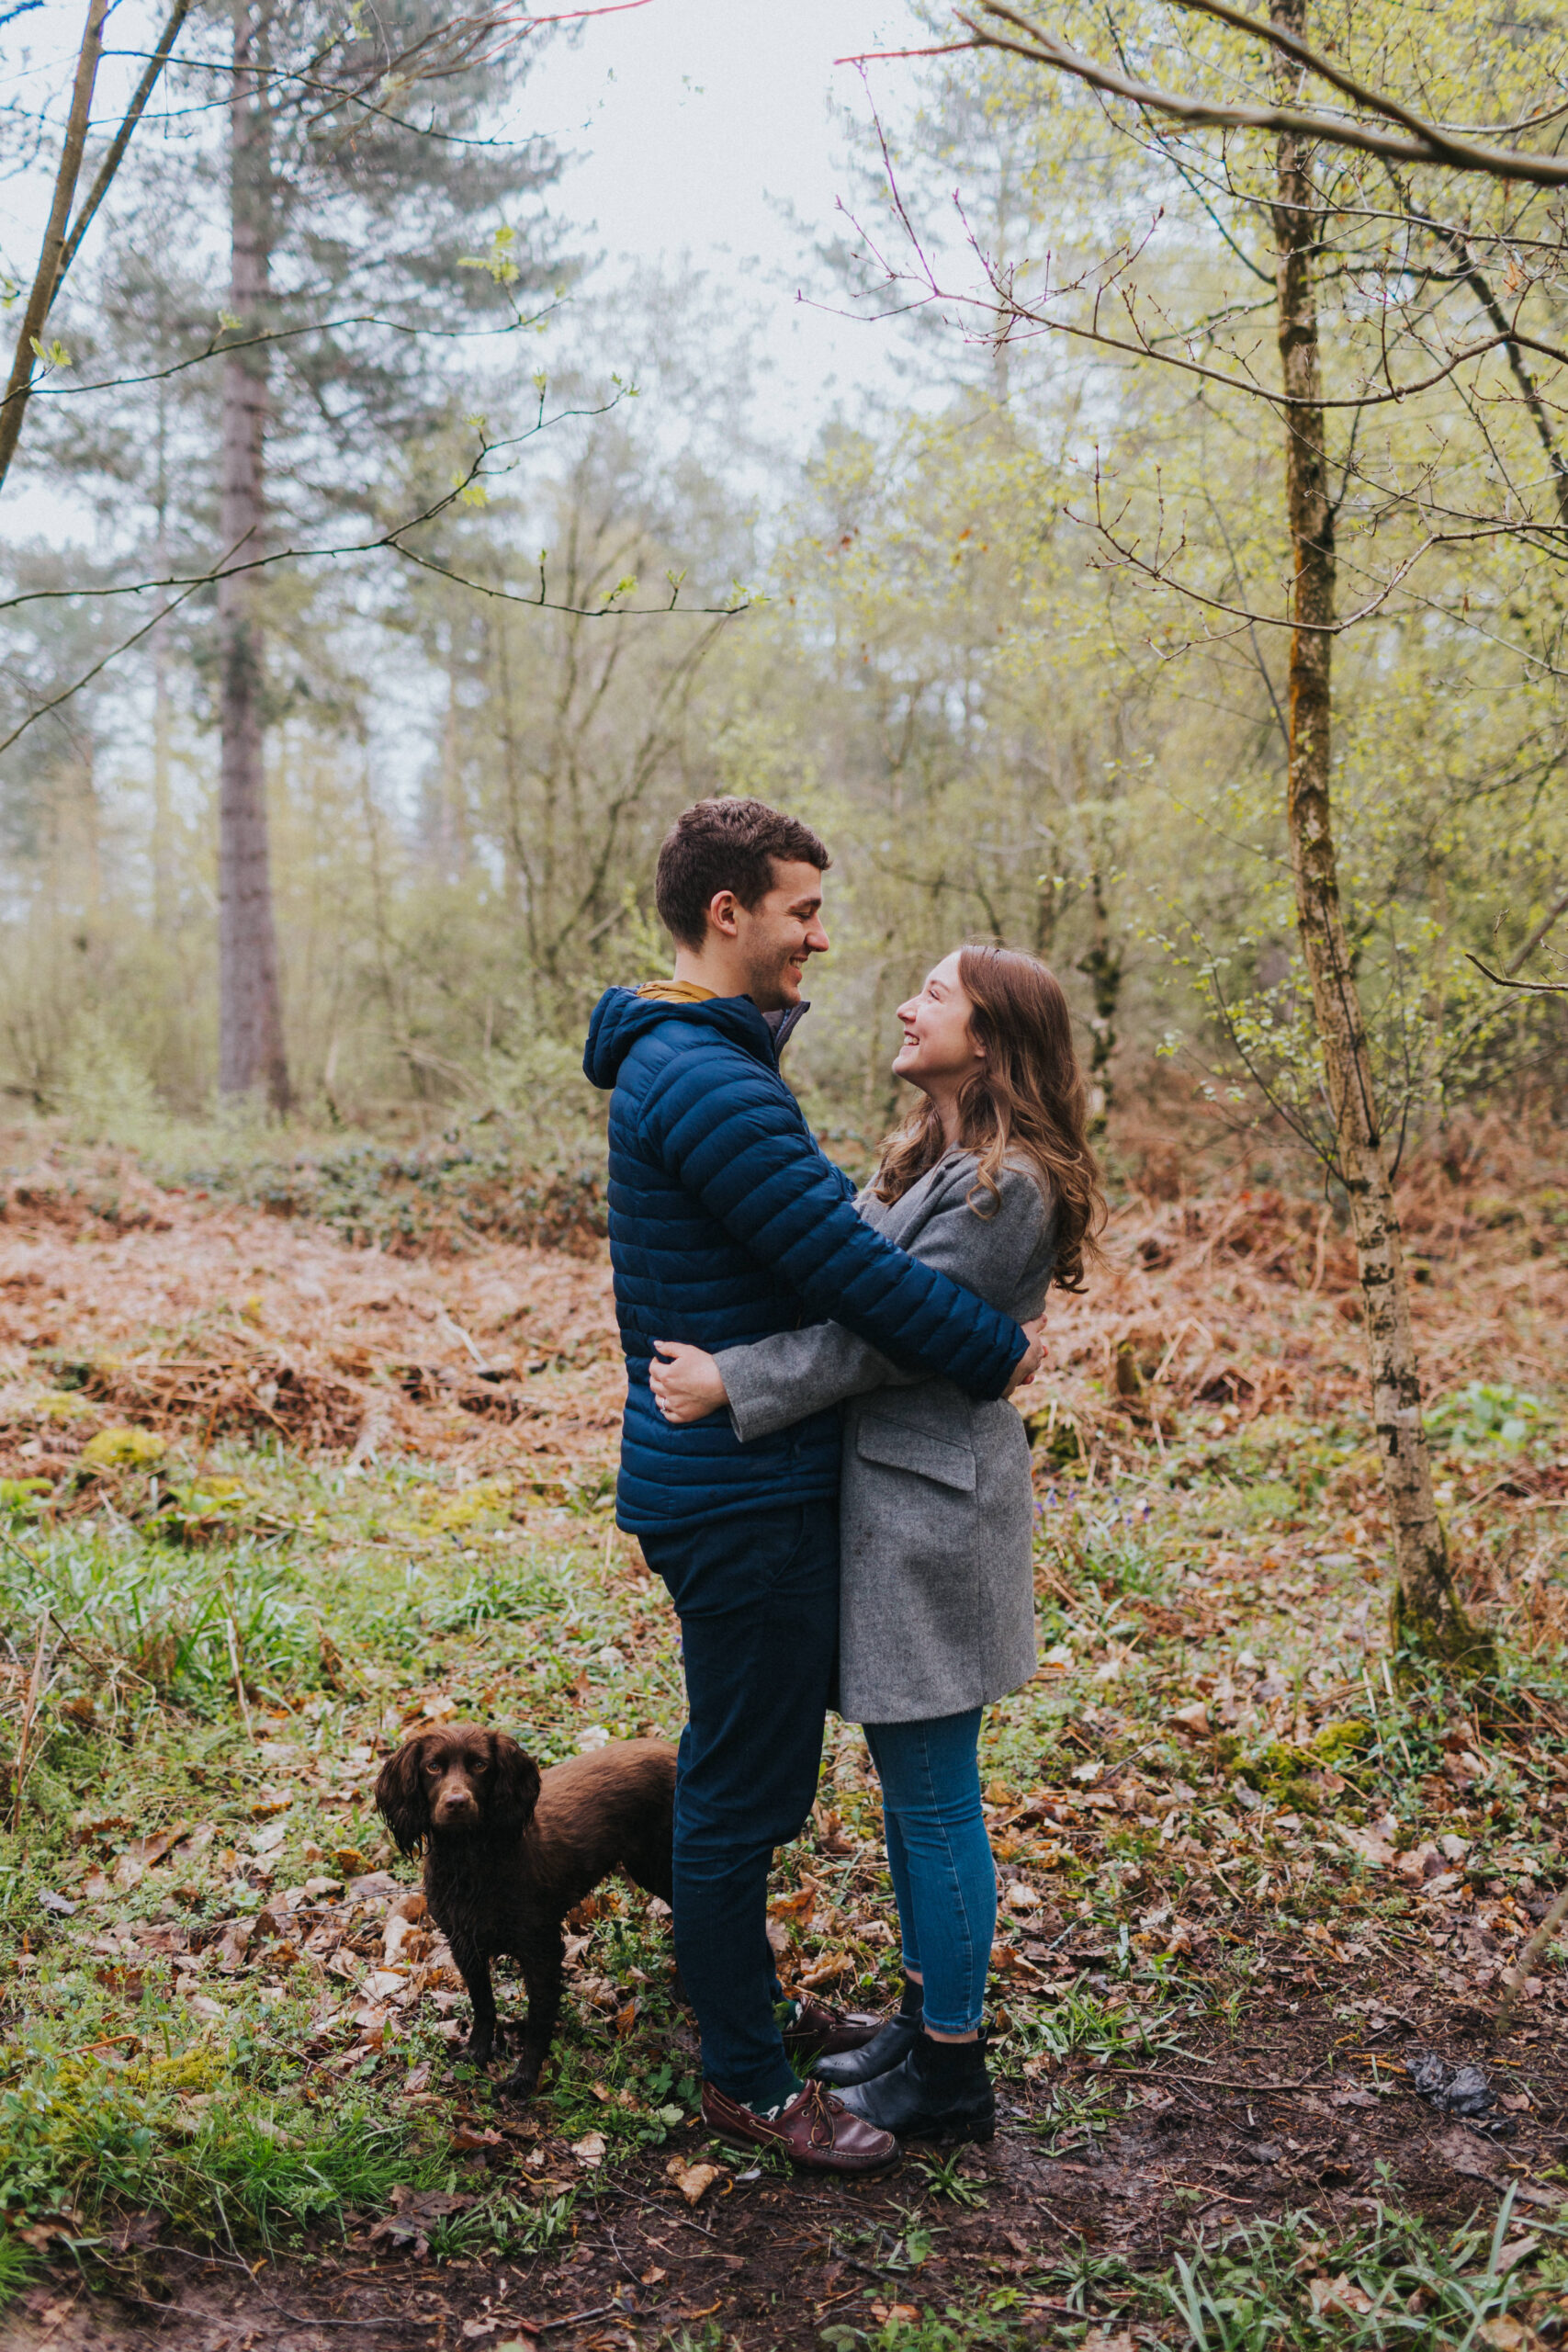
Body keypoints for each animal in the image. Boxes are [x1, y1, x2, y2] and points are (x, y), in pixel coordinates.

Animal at [380, 1712, 682, 2098]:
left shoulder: (541, 1948)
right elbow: (483, 2003)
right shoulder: (464, 1943)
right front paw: (477, 2053)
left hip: (661, 1865)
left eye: (480, 1765)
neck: (471, 1861)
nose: (457, 1802)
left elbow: (538, 2020)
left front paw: (525, 2077)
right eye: (433, 1766)